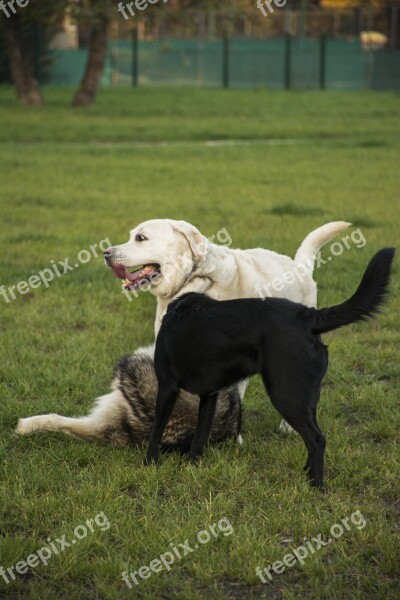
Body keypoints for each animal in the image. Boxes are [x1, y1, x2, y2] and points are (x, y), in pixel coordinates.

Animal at [146, 248, 394, 488]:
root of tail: (310, 316)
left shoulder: (167, 387)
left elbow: (157, 429)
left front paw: (150, 463)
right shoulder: (210, 395)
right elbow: (200, 435)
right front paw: (191, 465)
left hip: (285, 395)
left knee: (317, 439)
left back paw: (315, 484)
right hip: (305, 396)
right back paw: (307, 472)